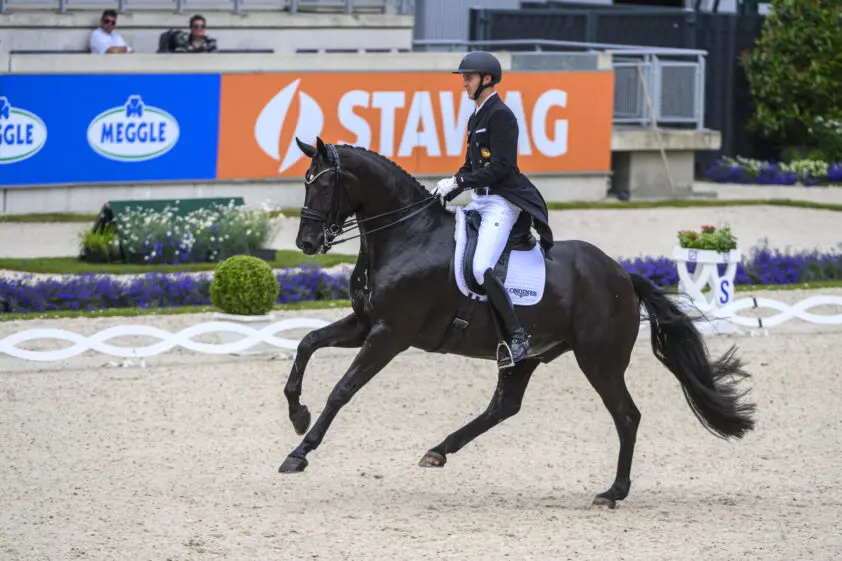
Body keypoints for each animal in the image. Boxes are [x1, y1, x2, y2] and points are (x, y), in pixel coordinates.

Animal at [278, 136, 756, 509]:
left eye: (324, 184)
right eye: (305, 182)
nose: (306, 242)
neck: (407, 236)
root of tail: (623, 274)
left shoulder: (390, 334)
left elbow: (343, 389)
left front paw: (299, 452)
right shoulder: (365, 324)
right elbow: (307, 343)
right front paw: (298, 416)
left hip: (599, 360)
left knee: (626, 415)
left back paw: (612, 492)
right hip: (526, 355)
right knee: (504, 406)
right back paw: (438, 451)